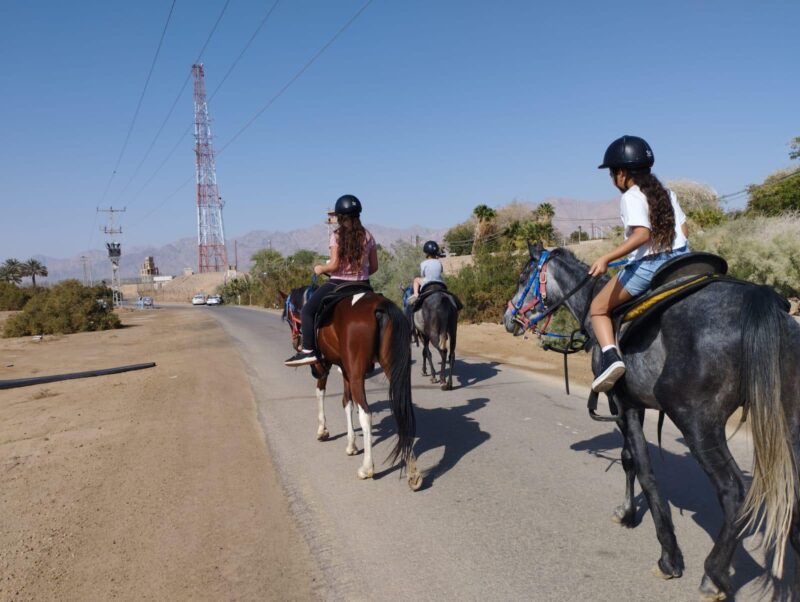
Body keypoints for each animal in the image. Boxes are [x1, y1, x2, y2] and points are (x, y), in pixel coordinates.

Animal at [282, 282, 422, 488]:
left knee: (366, 414)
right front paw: (351, 444)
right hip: (392, 367)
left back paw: (367, 468)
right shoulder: (345, 369)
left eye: (288, 316)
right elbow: (347, 403)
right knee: (402, 411)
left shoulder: (324, 366)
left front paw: (323, 431)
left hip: (356, 373)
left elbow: (321, 393)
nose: (295, 343)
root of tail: (380, 307)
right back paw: (413, 470)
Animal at [506, 243, 800, 596]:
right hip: (788, 420)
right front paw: (627, 511)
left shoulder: (622, 404)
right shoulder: (638, 406)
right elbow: (631, 459)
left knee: (733, 493)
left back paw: (713, 574)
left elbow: (639, 467)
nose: (508, 317)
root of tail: (761, 303)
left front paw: (666, 555)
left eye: (522, 276)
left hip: (697, 423)